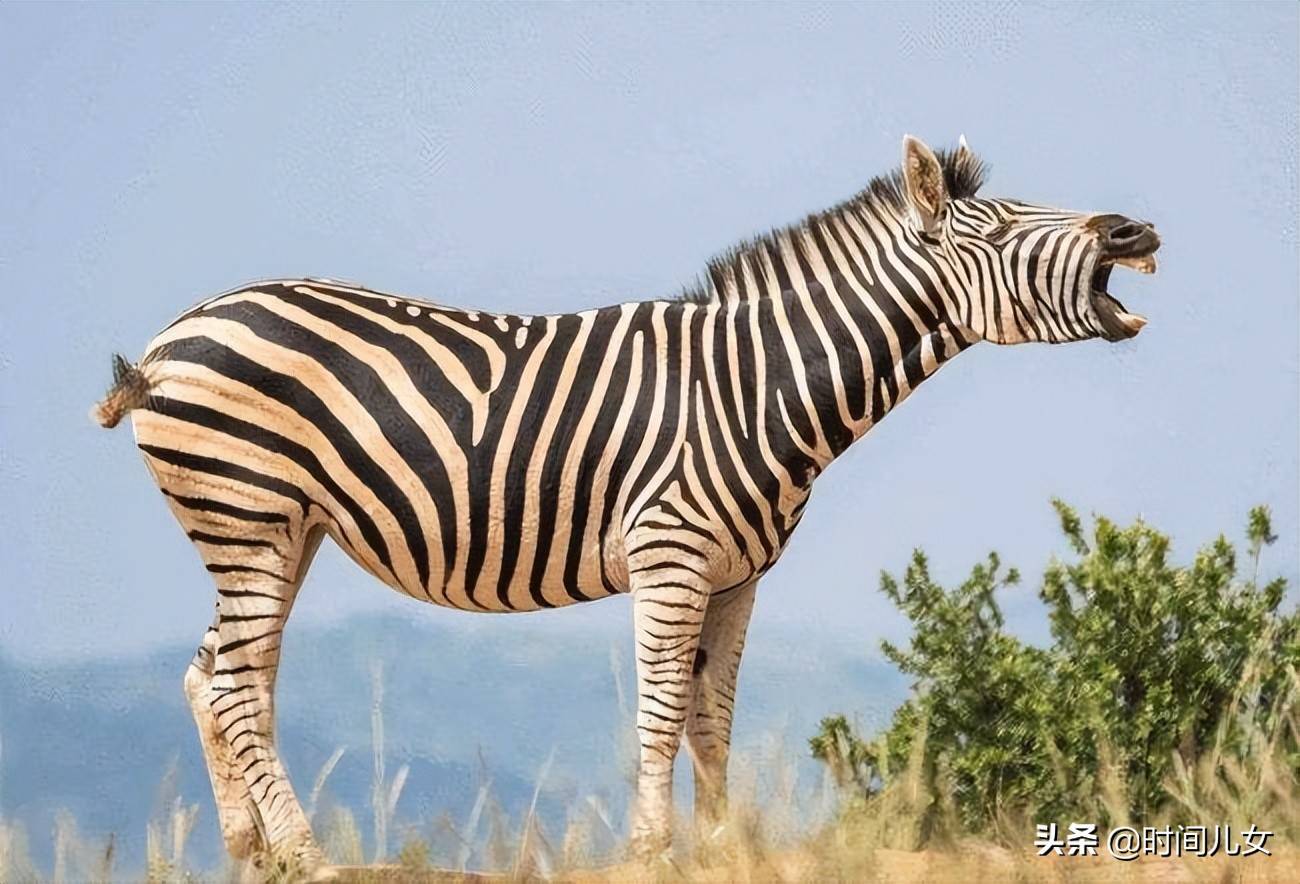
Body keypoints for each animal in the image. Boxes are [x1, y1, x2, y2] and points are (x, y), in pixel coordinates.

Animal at [96, 134, 1164, 873]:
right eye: (1011, 226)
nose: (1136, 229)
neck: (756, 386)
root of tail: (168, 339)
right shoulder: (671, 556)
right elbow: (658, 713)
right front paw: (654, 852)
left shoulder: (737, 578)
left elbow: (711, 717)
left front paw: (724, 849)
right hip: (249, 512)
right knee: (239, 681)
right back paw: (309, 858)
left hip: (277, 527)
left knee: (214, 674)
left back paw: (252, 853)